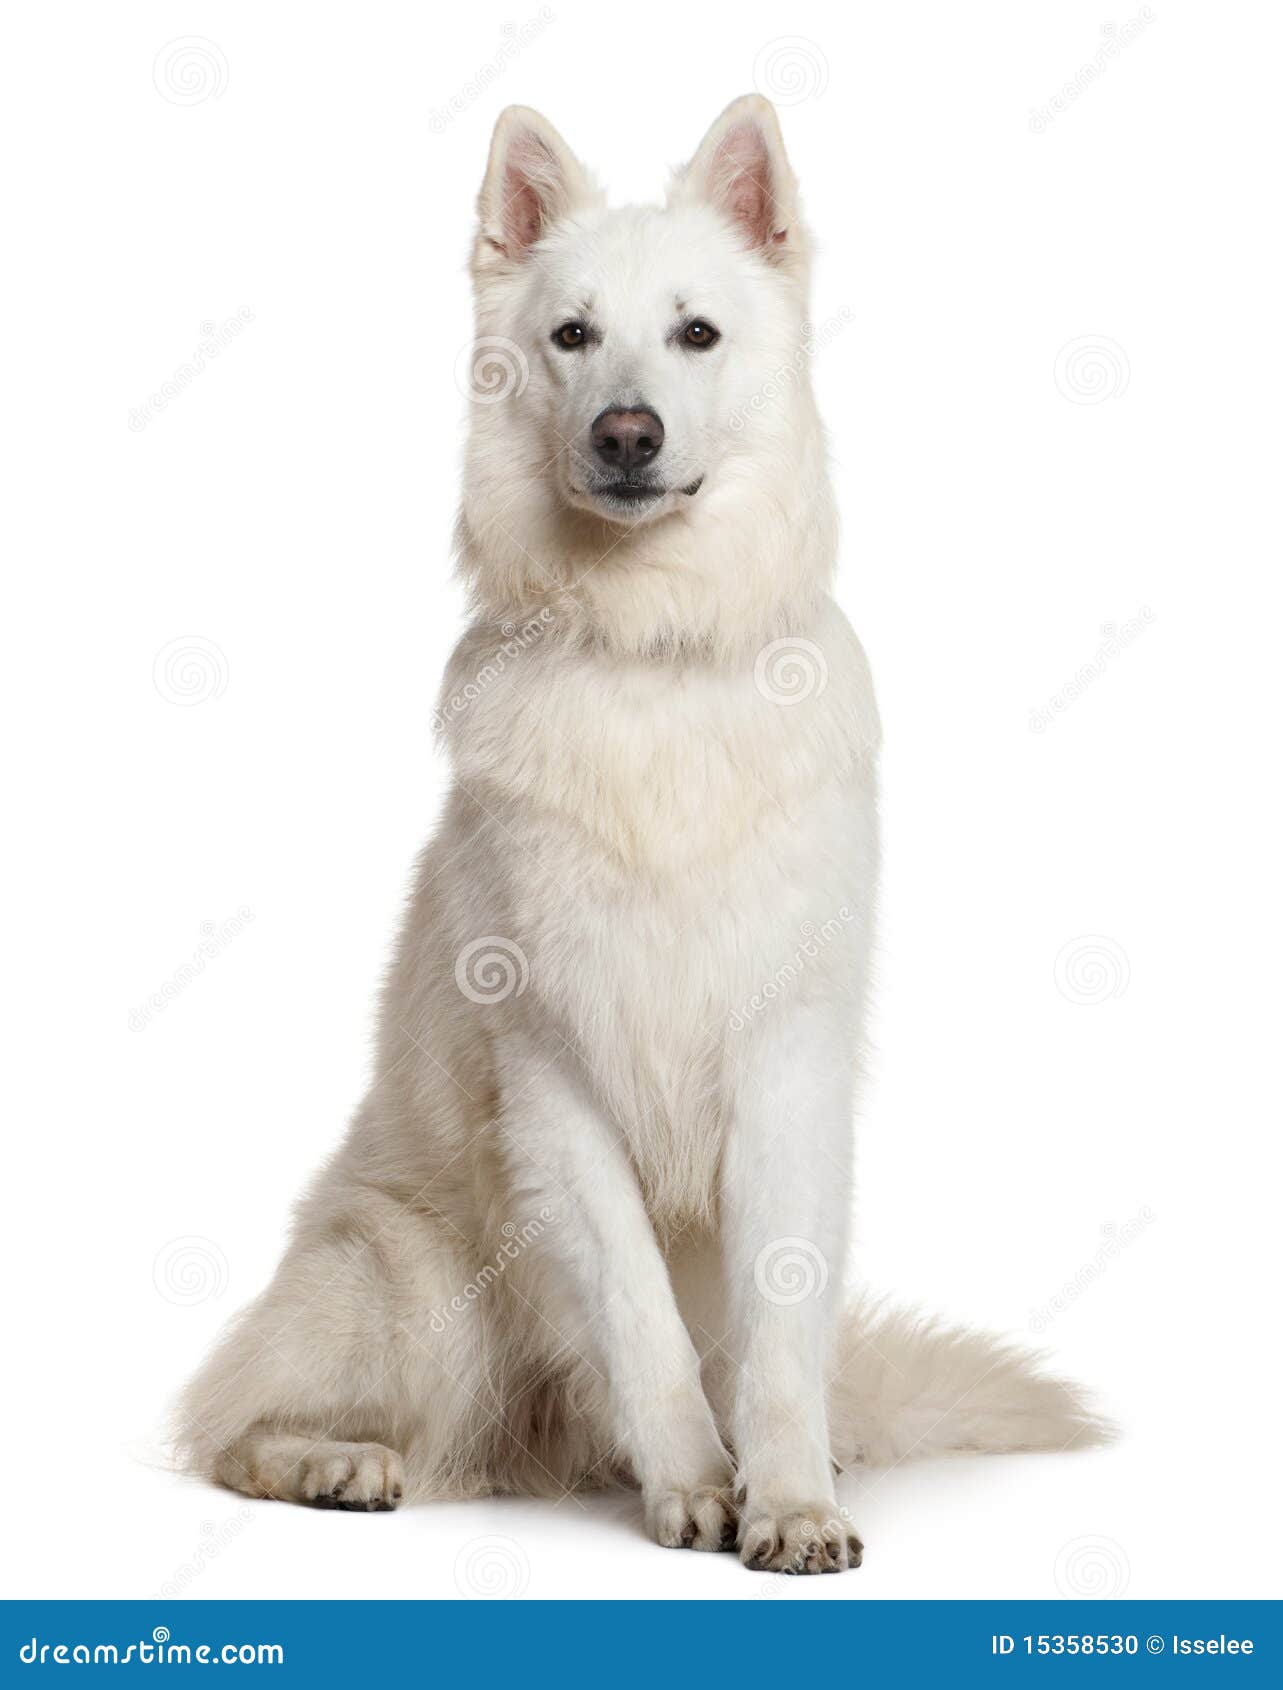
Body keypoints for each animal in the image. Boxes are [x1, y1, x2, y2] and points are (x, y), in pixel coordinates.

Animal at [178, 92, 1102, 1568]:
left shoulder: (783, 1072)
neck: (647, 653)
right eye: (570, 336)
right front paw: (691, 1485)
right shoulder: (556, 1081)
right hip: (407, 1291)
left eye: (694, 334)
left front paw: (786, 1498)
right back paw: (335, 1461)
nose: (623, 432)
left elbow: (775, 1332)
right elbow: (636, 1314)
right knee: (231, 1422)